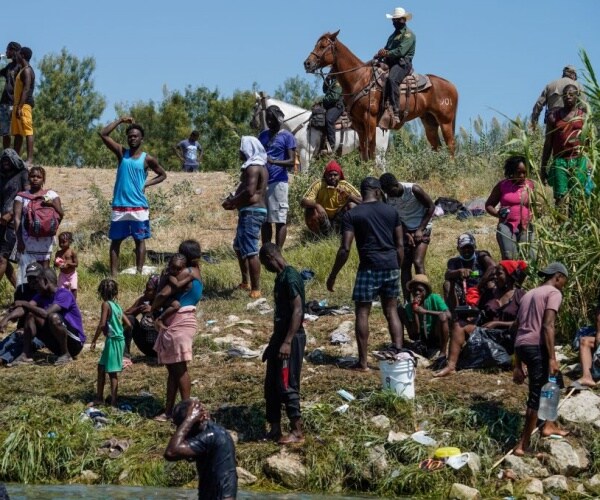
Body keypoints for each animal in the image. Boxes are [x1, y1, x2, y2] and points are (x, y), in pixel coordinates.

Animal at [303, 31, 459, 159]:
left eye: (323, 46)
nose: (307, 63)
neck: (359, 79)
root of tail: (452, 86)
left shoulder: (370, 118)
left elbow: (371, 146)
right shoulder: (358, 123)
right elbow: (364, 149)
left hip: (445, 121)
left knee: (450, 145)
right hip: (429, 122)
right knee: (437, 146)